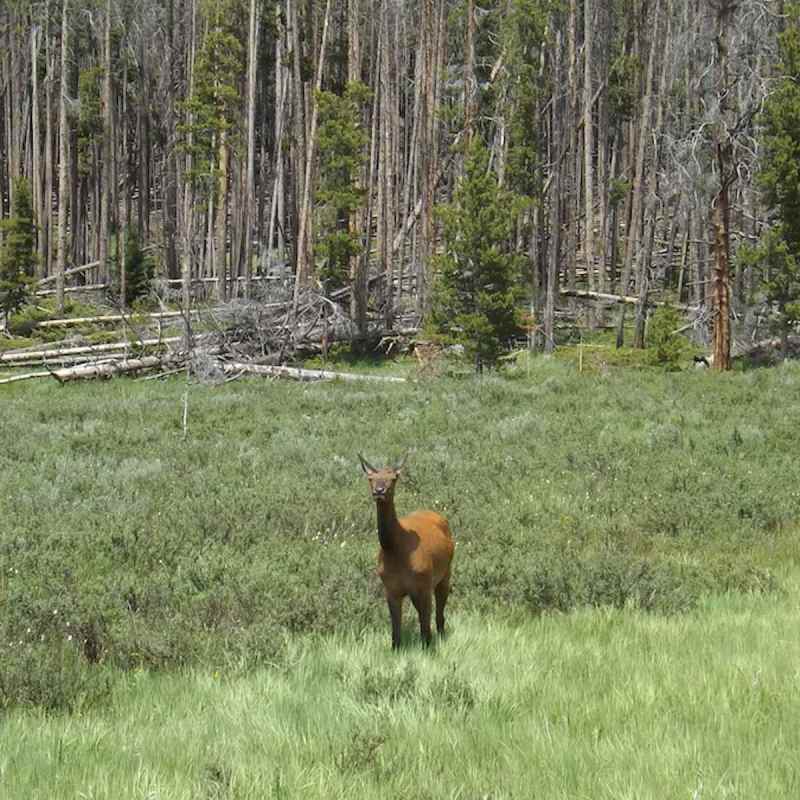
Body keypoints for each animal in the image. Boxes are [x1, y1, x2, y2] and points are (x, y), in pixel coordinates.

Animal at [360, 454, 454, 648]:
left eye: (393, 478)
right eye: (370, 478)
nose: (379, 491)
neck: (396, 550)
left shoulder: (424, 585)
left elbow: (425, 627)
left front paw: (428, 648)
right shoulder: (391, 589)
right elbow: (396, 631)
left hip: (445, 573)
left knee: (438, 613)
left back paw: (441, 635)